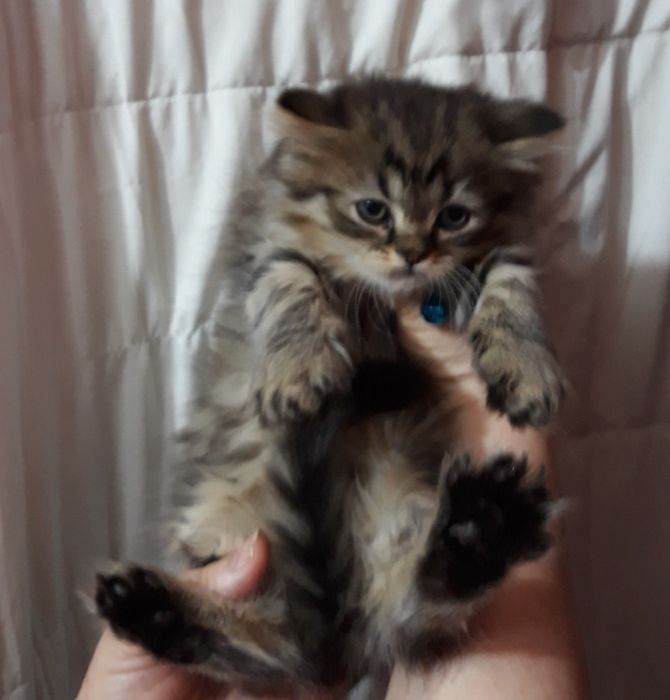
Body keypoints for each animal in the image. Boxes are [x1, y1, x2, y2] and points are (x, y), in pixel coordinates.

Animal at [95, 77, 565, 697]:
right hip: (228, 530)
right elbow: (289, 276)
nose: (413, 254)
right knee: (274, 646)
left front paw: (525, 365)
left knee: (405, 606)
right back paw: (156, 611)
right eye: (372, 210)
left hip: (396, 512)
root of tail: (334, 643)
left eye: (455, 216)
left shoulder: (498, 255)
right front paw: (295, 369)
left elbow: (513, 278)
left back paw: (480, 530)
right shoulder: (263, 250)